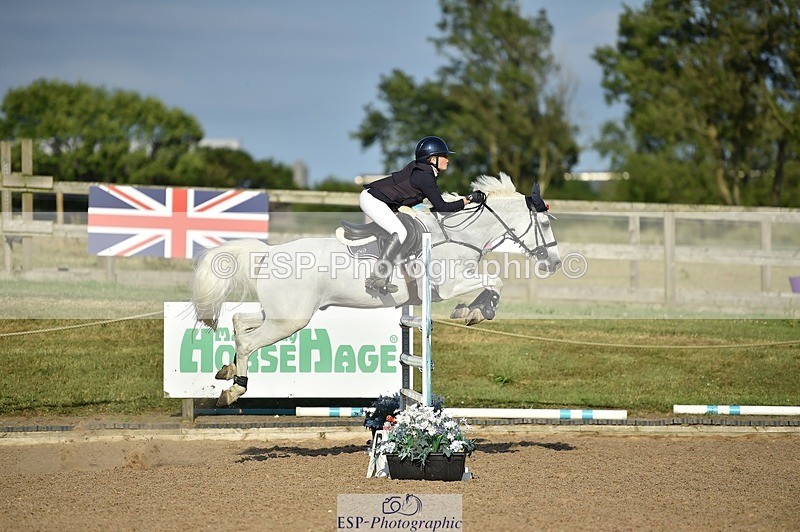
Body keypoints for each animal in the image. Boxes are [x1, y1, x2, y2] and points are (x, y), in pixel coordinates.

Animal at [191, 172, 561, 406]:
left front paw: (472, 311)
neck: (458, 233)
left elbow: (491, 282)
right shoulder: (448, 284)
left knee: (240, 323)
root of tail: (270, 253)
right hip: (290, 320)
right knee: (249, 341)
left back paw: (228, 371)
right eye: (543, 224)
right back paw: (235, 390)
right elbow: (493, 281)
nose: (554, 263)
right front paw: (476, 311)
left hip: (279, 313)